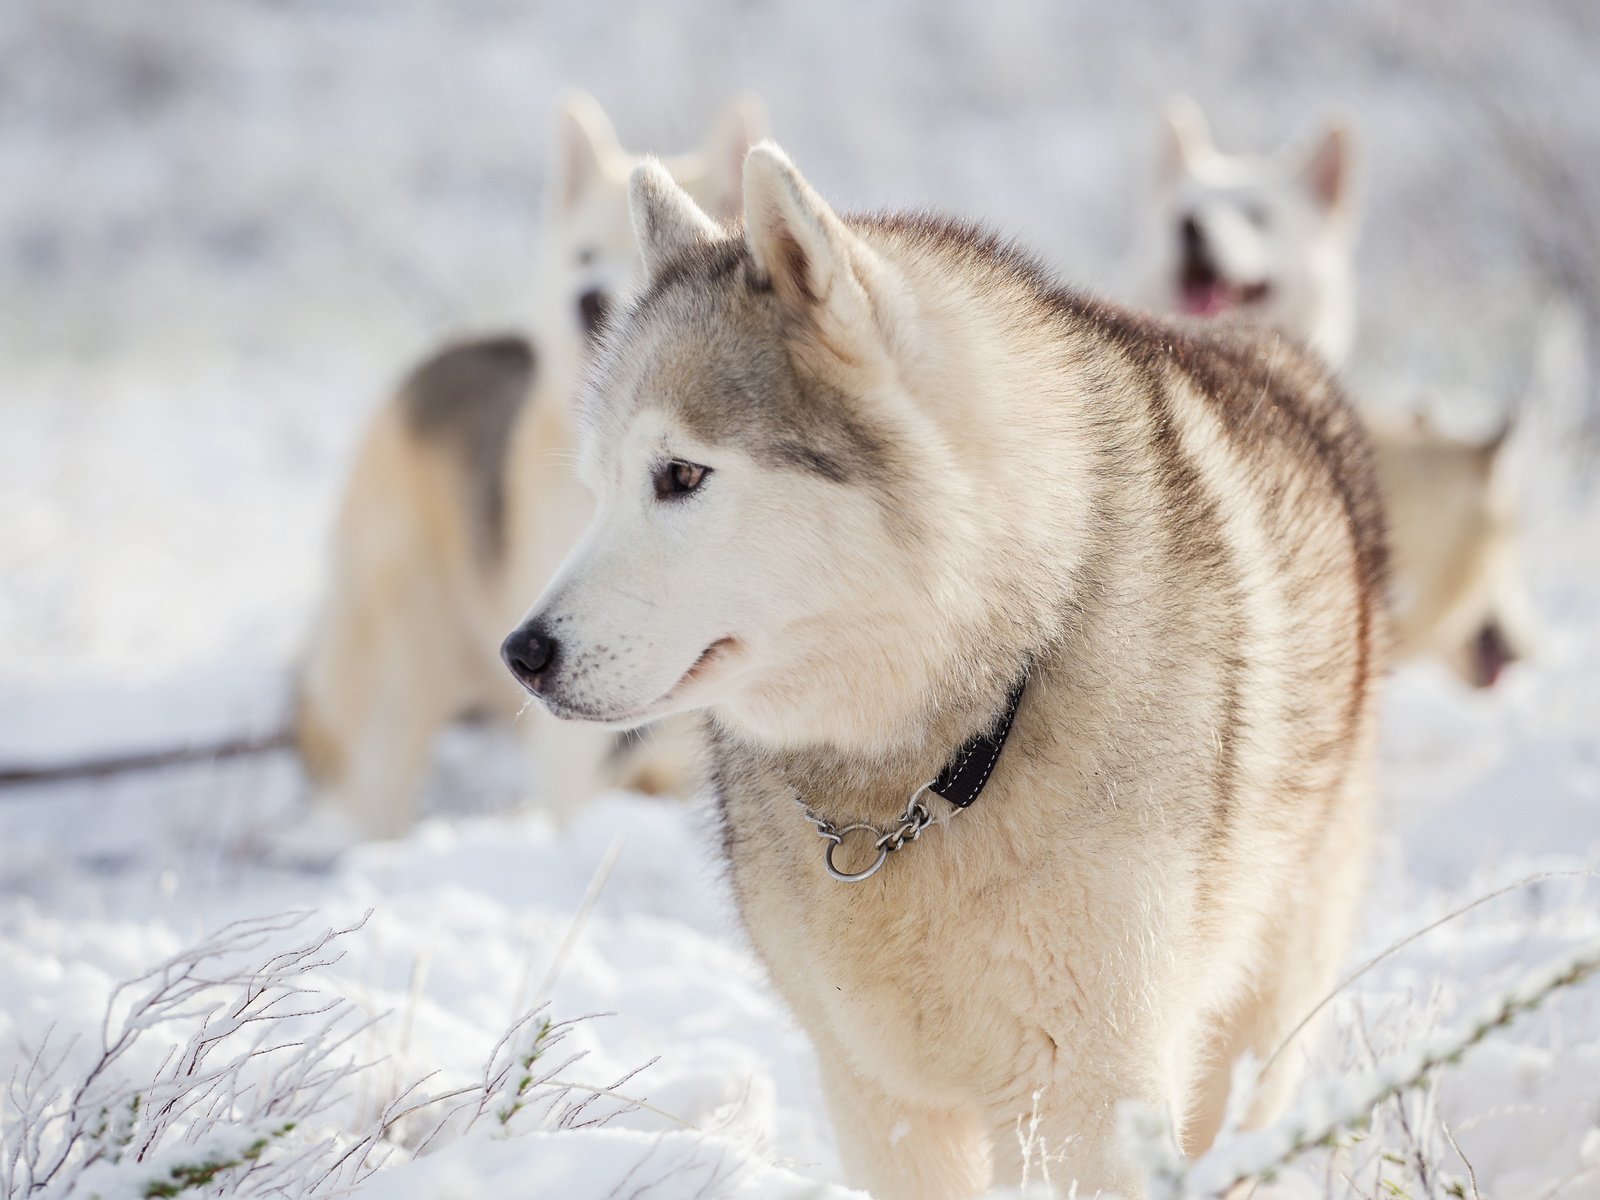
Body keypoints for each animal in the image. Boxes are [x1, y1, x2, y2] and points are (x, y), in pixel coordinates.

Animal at [505, 145, 1395, 1196]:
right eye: (599, 489)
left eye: (681, 475)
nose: (522, 655)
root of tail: (1271, 351)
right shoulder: (879, 1096)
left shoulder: (1083, 1104)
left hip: (1256, 1023)